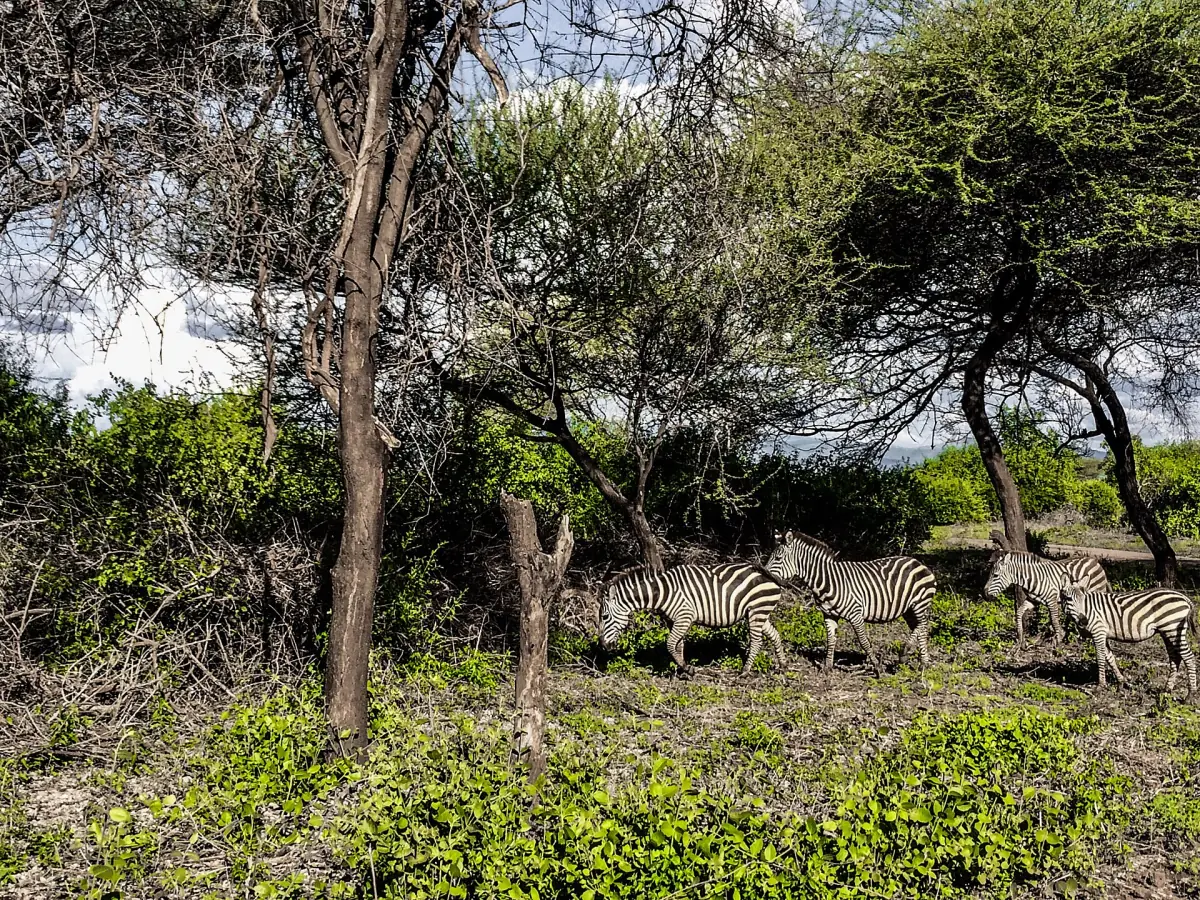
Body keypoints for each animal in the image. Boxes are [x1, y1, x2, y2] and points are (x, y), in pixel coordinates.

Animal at [598, 563, 786, 675]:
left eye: (604, 617)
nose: (603, 646)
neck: (663, 593)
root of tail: (770, 575)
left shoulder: (685, 616)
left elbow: (670, 644)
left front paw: (687, 668)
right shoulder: (675, 621)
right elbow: (678, 645)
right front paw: (681, 670)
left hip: (757, 611)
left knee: (756, 641)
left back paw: (745, 671)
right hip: (759, 612)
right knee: (775, 634)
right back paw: (782, 666)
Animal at [765, 531, 937, 676]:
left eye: (778, 559)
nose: (764, 575)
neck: (829, 581)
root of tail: (917, 562)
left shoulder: (856, 614)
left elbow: (864, 641)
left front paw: (877, 667)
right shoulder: (828, 615)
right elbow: (831, 640)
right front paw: (827, 667)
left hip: (919, 604)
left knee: (923, 625)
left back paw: (905, 653)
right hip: (908, 609)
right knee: (920, 628)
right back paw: (923, 663)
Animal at [1060, 582, 1197, 699]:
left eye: (1083, 600)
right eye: (1069, 599)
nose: (1084, 621)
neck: (1089, 609)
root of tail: (1184, 598)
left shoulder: (1098, 632)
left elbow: (1100, 658)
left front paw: (1101, 686)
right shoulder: (1103, 635)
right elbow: (1110, 658)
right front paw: (1121, 682)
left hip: (1173, 629)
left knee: (1189, 657)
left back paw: (1190, 695)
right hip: (1168, 632)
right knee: (1175, 658)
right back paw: (1167, 690)